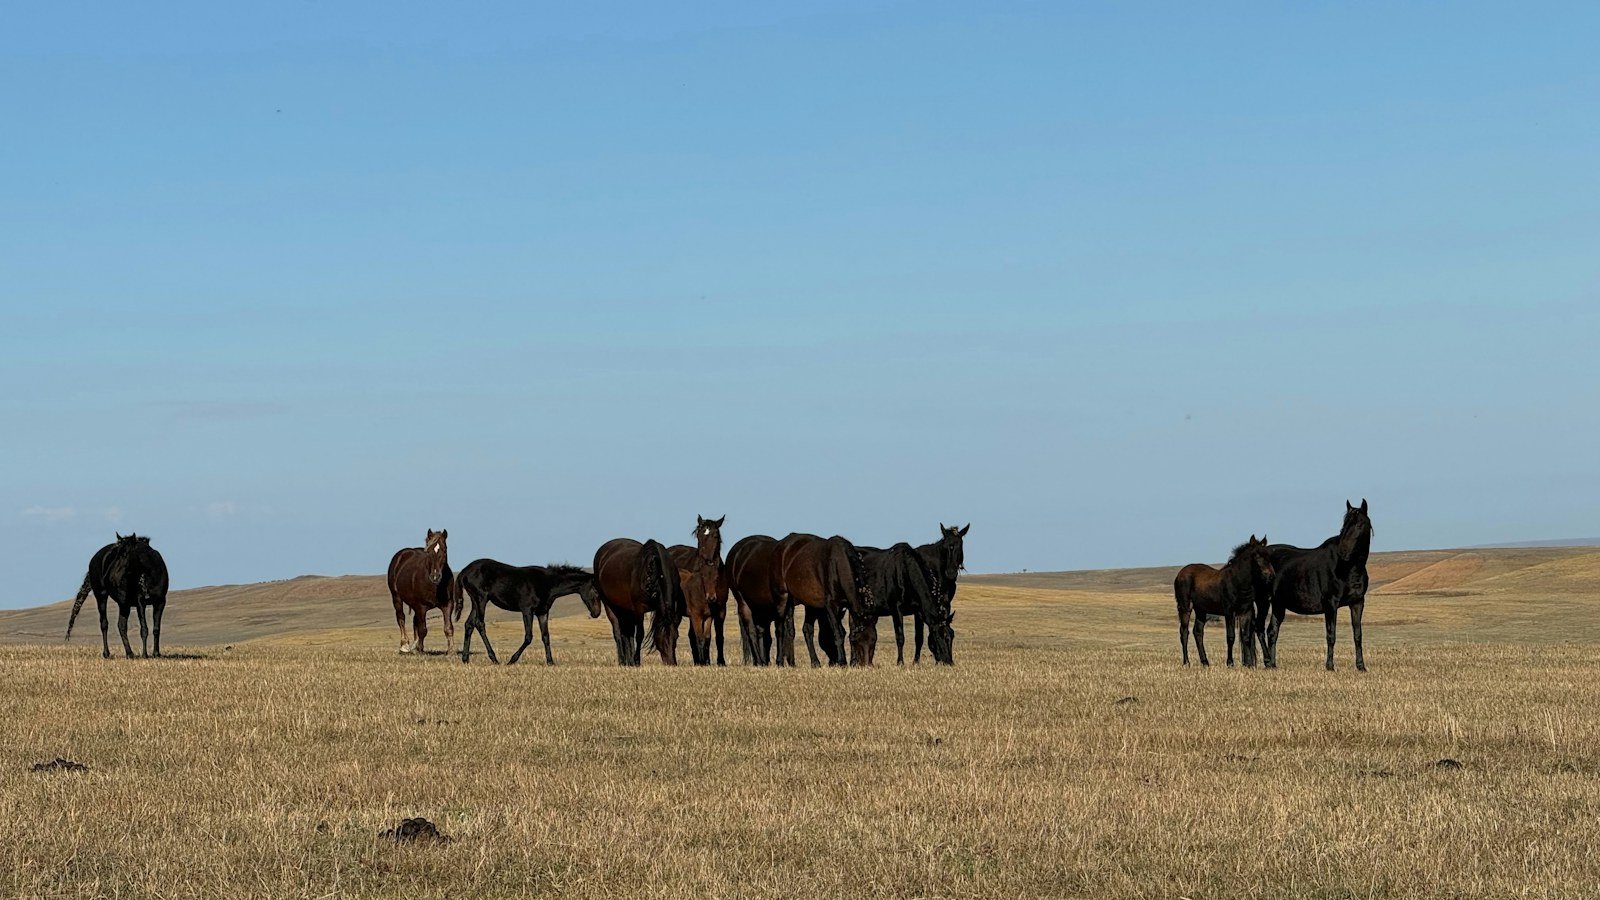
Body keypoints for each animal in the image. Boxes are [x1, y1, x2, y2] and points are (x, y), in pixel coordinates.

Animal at [456, 560, 600, 665]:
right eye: (596, 591)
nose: (596, 613)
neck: (547, 583)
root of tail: (464, 571)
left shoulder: (542, 612)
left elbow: (546, 636)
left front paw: (550, 662)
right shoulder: (527, 610)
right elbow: (528, 637)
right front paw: (512, 660)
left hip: (475, 602)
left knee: (469, 624)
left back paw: (465, 659)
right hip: (481, 599)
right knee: (479, 623)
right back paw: (494, 659)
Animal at [667, 515, 729, 666]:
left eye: (715, 535)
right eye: (699, 536)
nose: (707, 560)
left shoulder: (720, 609)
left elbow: (717, 636)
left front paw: (719, 662)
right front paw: (704, 661)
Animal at [774, 533, 861, 667]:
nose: (833, 662)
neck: (837, 562)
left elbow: (850, 632)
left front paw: (853, 661)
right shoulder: (831, 605)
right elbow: (838, 632)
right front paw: (842, 662)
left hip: (809, 605)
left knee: (806, 630)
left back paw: (813, 662)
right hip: (785, 599)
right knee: (783, 629)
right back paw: (782, 661)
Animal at [1173, 535, 1275, 668]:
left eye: (1269, 555)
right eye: (1256, 555)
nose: (1270, 575)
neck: (1238, 581)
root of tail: (1180, 573)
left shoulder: (1245, 612)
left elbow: (1246, 637)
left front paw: (1248, 664)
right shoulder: (1229, 612)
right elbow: (1230, 637)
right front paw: (1230, 663)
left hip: (1201, 610)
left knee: (1198, 632)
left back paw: (1205, 662)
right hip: (1185, 607)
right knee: (1184, 632)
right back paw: (1186, 662)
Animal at [1259, 500, 1374, 671]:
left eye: (1359, 524)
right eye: (1345, 524)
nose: (1343, 552)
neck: (1348, 569)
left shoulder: (1357, 603)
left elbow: (1357, 635)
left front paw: (1361, 667)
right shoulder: (1331, 604)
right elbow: (1331, 635)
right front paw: (1330, 666)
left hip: (1278, 604)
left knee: (1272, 631)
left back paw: (1272, 664)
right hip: (1263, 602)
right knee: (1258, 629)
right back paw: (1266, 662)